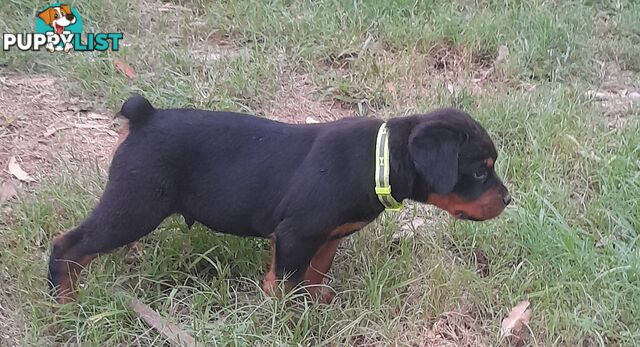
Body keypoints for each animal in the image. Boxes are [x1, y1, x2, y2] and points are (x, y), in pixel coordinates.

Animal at [47, 96, 510, 304]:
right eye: (480, 171)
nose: (507, 199)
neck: (377, 160)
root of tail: (145, 115)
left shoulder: (326, 236)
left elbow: (316, 272)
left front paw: (318, 302)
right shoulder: (295, 234)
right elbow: (284, 283)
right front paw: (284, 317)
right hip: (136, 205)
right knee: (69, 244)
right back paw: (64, 300)